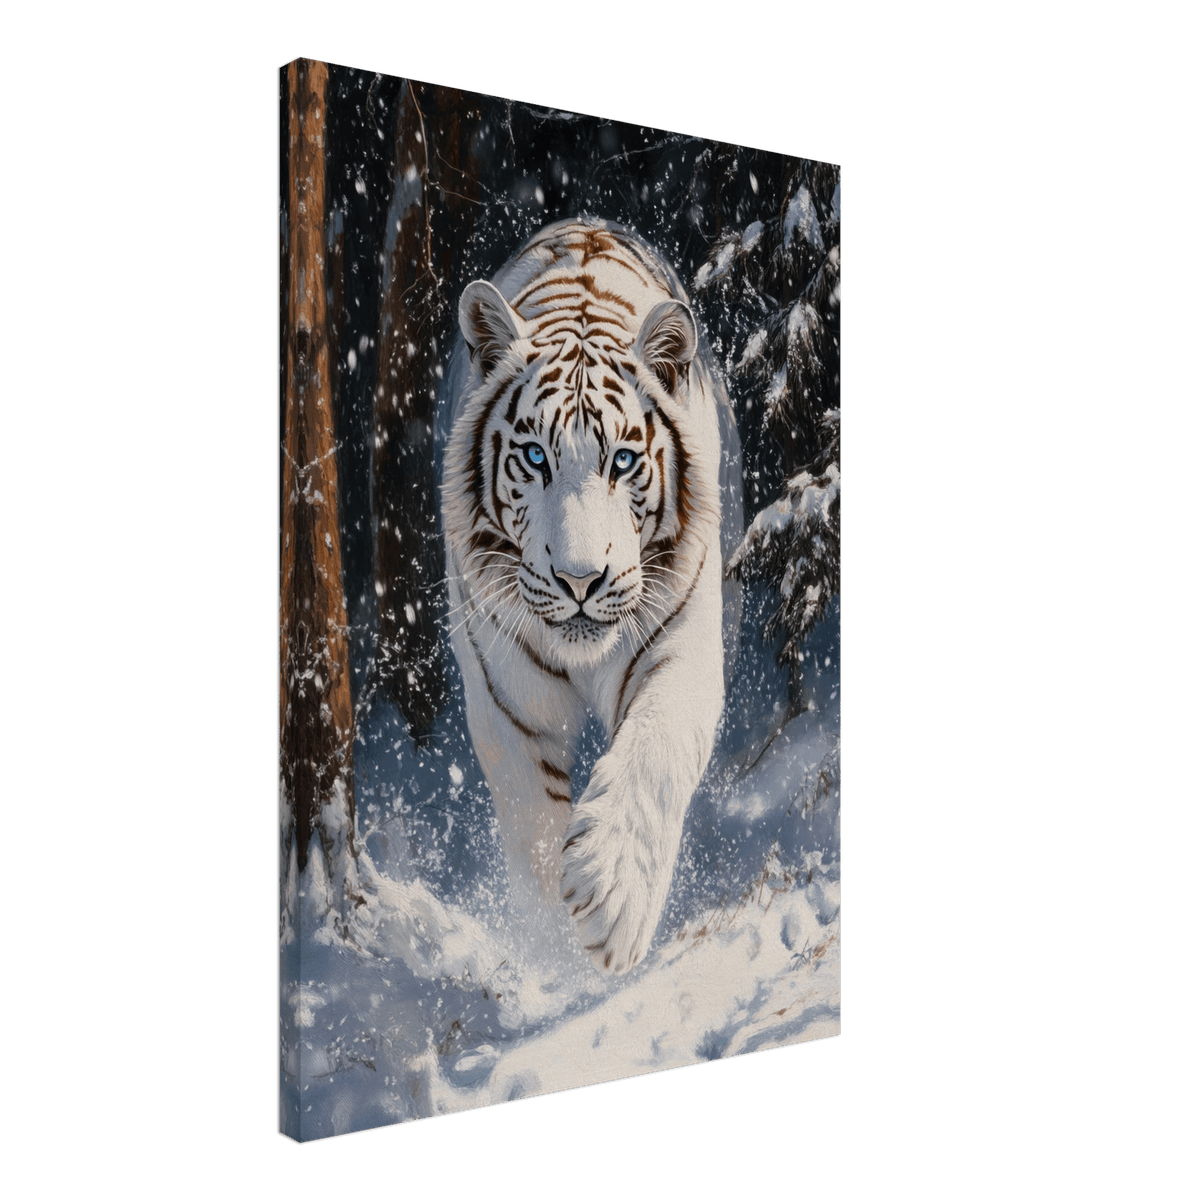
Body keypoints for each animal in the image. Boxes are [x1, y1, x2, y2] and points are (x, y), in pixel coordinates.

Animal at [441, 217, 738, 975]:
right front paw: (554, 951)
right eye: (534, 457)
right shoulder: (506, 695)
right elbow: (531, 822)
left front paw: (610, 900)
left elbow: (656, 752)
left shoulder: (682, 646)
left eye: (623, 461)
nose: (580, 580)